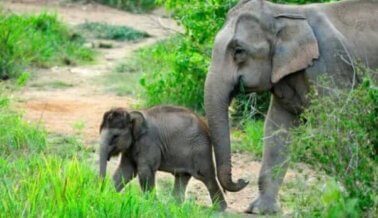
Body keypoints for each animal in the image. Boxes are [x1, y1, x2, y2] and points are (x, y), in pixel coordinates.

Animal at [99, 105, 235, 209]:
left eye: (115, 136)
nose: (99, 190)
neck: (131, 113)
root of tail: (205, 125)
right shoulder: (131, 148)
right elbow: (125, 171)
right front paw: (108, 195)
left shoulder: (149, 142)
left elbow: (144, 171)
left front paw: (152, 205)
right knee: (182, 176)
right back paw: (174, 205)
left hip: (201, 149)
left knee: (206, 176)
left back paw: (219, 210)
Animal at [205, 0, 376, 215]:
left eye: (239, 51)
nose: (242, 180)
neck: (283, 12)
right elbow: (276, 129)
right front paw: (260, 210)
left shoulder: (330, 65)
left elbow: (339, 125)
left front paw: (356, 201)